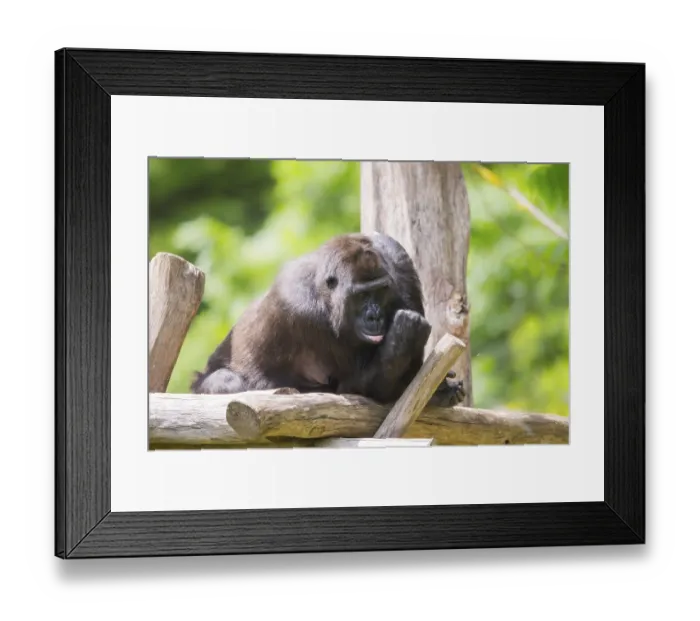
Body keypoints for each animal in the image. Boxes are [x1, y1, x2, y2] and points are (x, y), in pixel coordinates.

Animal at [191, 232, 465, 407]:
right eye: (362, 295)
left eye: (380, 291)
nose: (375, 316)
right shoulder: (295, 305)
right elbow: (358, 387)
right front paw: (402, 339)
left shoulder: (399, 261)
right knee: (228, 381)